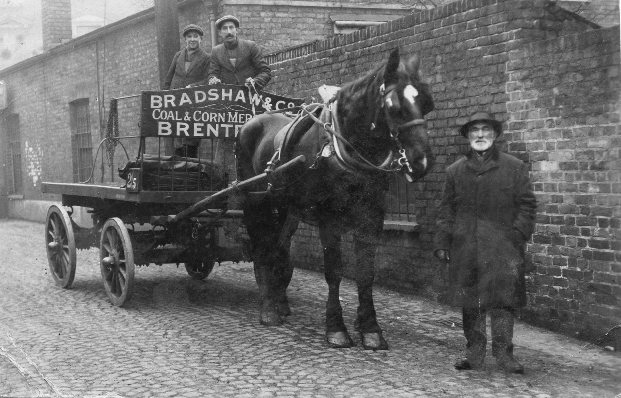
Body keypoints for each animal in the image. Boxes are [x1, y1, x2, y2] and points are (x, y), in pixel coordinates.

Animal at [235, 48, 434, 350]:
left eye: (425, 103)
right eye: (393, 106)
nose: (421, 161)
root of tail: (252, 121)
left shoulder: (372, 218)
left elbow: (366, 273)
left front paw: (371, 329)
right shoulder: (329, 218)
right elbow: (334, 271)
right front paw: (336, 329)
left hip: (286, 209)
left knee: (279, 248)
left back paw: (281, 303)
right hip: (256, 204)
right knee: (262, 248)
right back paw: (268, 309)